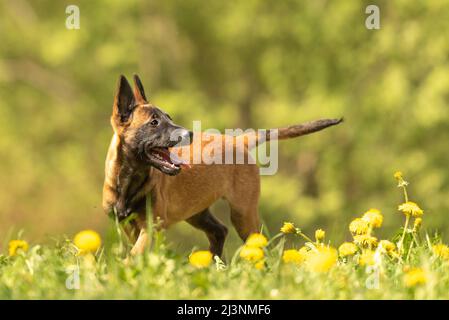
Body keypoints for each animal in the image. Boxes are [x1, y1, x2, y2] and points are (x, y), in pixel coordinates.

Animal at [100, 74, 340, 256]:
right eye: (154, 122)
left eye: (169, 117)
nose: (189, 133)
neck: (130, 181)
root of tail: (238, 140)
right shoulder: (127, 225)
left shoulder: (151, 225)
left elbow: (136, 253)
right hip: (197, 211)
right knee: (219, 231)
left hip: (243, 213)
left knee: (256, 242)